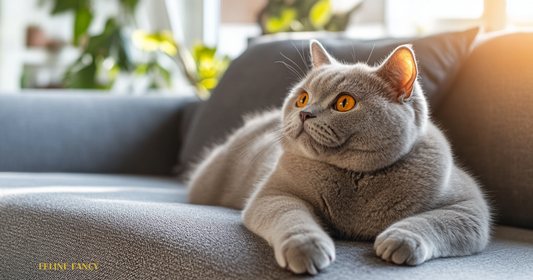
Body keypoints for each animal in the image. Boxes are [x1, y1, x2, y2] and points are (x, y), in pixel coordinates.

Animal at [188, 40, 490, 274]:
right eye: (302, 98)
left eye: (344, 103)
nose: (304, 113)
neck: (354, 178)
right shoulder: (274, 194)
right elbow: (291, 216)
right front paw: (307, 248)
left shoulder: (469, 207)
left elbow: (434, 221)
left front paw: (400, 240)